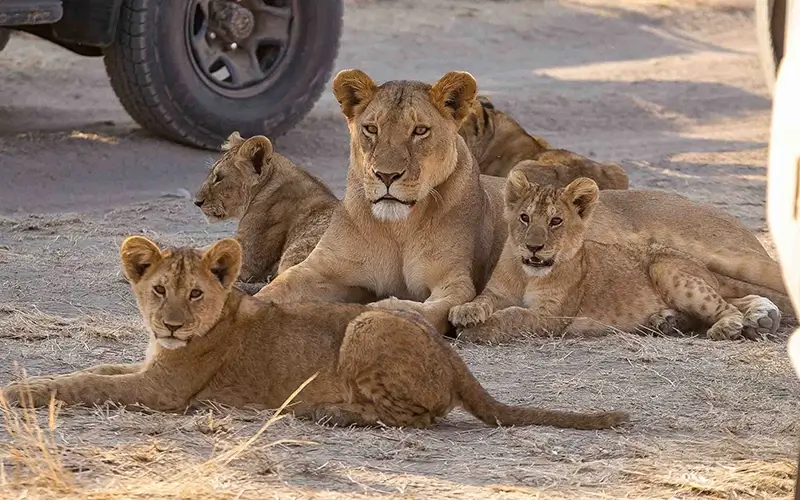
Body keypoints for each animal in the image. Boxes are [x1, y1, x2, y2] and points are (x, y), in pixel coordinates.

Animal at [1, 236, 629, 431]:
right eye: (159, 290)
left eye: (196, 294)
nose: (172, 324)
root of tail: (456, 361)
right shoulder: (149, 368)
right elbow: (98, 369)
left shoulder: (163, 392)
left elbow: (87, 383)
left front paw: (19, 392)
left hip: (368, 323)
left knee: (418, 418)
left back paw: (325, 412)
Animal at [253, 69, 509, 334]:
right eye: (371, 129)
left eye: (420, 130)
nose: (387, 175)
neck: (399, 227)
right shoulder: (320, 267)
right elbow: (276, 288)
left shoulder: (455, 280)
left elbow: (431, 310)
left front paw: (386, 308)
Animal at [449, 172, 792, 344]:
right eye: (524, 218)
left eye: (556, 221)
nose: (534, 247)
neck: (527, 274)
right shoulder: (497, 293)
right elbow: (482, 300)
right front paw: (465, 312)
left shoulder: (550, 316)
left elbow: (512, 316)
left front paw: (475, 330)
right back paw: (667, 321)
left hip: (672, 270)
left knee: (728, 306)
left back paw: (728, 327)